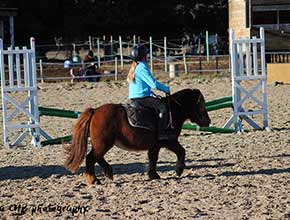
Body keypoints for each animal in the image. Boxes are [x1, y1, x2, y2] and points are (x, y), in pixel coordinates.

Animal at [64, 88, 211, 185]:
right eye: (201, 104)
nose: (208, 122)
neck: (173, 111)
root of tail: (95, 111)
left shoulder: (155, 145)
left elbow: (153, 158)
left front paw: (153, 175)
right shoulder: (169, 140)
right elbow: (181, 151)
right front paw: (179, 170)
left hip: (103, 144)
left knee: (96, 157)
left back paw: (107, 172)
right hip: (103, 143)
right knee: (91, 157)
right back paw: (94, 179)